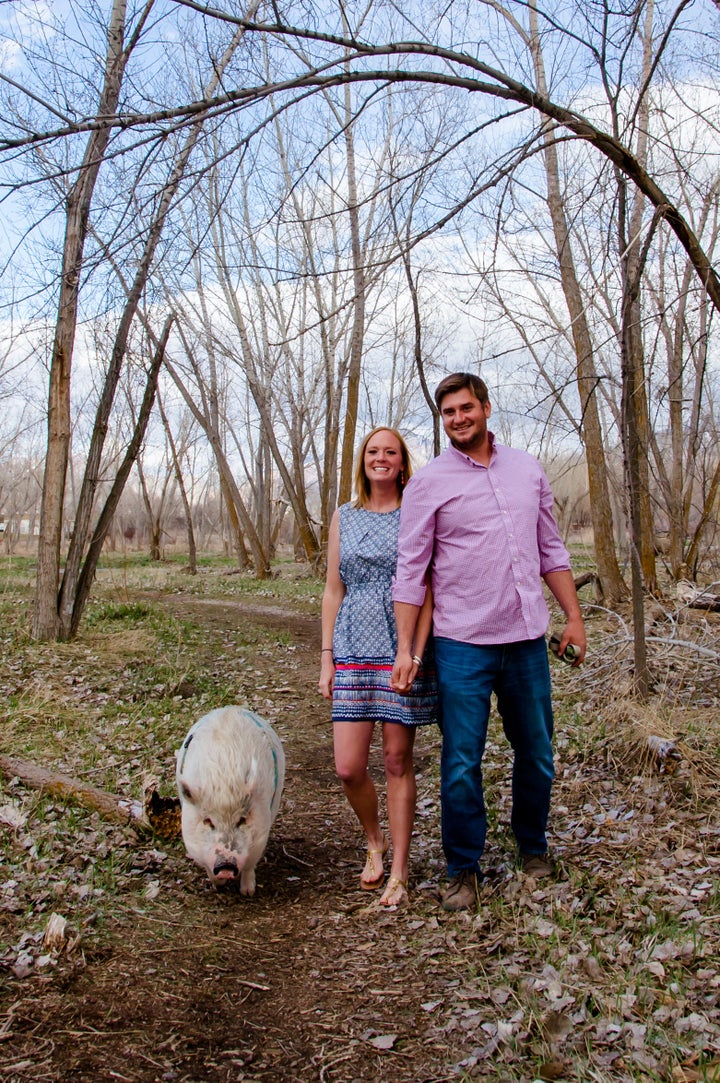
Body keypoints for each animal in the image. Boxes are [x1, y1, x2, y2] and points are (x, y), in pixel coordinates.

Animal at [175, 706, 285, 892]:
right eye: (208, 821)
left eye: (241, 820)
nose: (226, 867)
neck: (224, 784)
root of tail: (232, 708)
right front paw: (218, 885)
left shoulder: (261, 832)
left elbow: (250, 864)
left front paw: (248, 892)